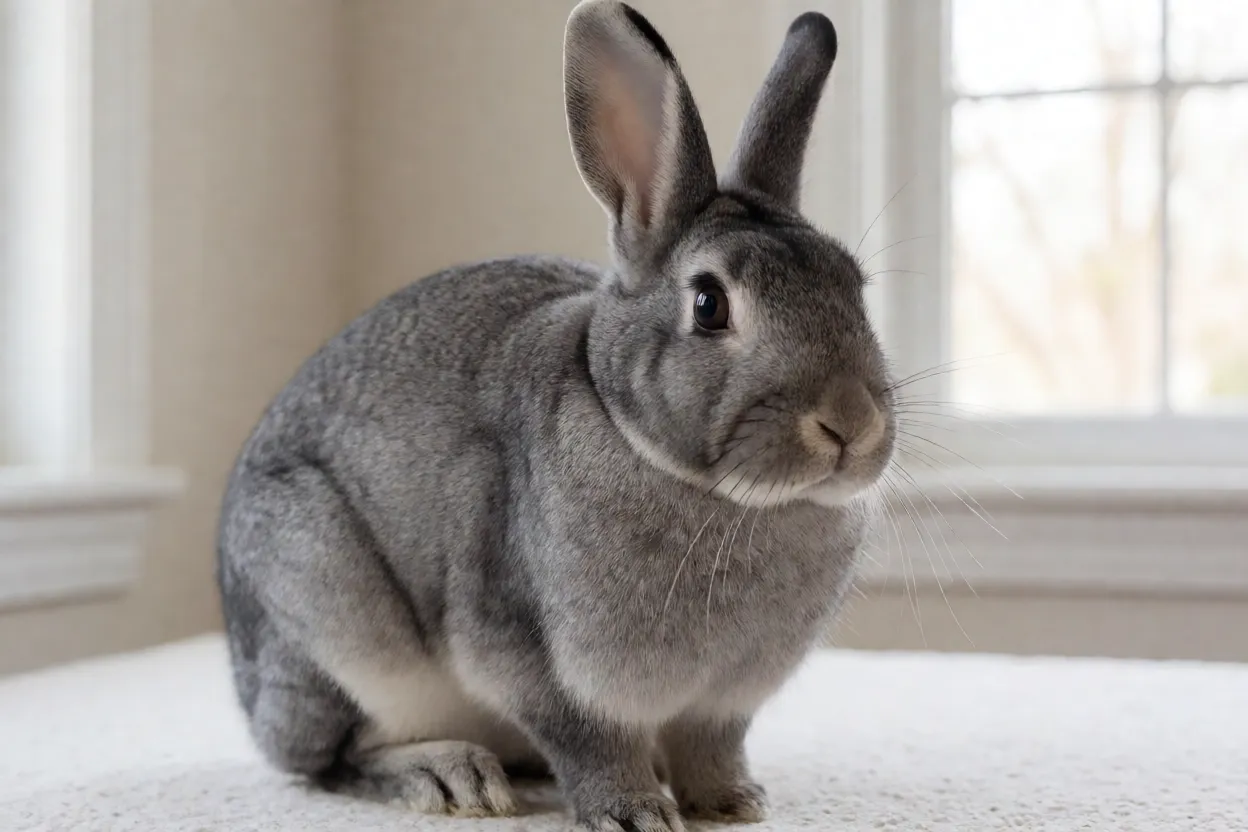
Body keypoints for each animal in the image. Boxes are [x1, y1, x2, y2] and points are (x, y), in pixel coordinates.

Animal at [216, 1, 896, 829]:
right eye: (709, 304)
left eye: (853, 286)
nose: (851, 423)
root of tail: (251, 696)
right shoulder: (537, 661)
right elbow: (590, 743)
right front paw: (634, 813)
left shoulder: (722, 702)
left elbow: (712, 746)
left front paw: (733, 803)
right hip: (336, 624)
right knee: (332, 760)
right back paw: (450, 778)